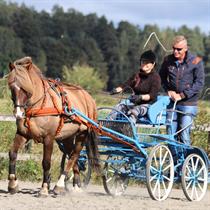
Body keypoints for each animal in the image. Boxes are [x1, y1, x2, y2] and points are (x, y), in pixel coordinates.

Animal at [6, 56, 100, 196]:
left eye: (25, 88)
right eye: (12, 87)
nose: (18, 114)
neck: (39, 106)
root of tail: (88, 97)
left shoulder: (48, 138)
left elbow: (46, 162)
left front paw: (44, 188)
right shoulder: (22, 134)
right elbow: (12, 153)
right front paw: (13, 184)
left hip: (82, 134)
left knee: (74, 156)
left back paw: (59, 185)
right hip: (67, 137)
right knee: (72, 156)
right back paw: (76, 186)